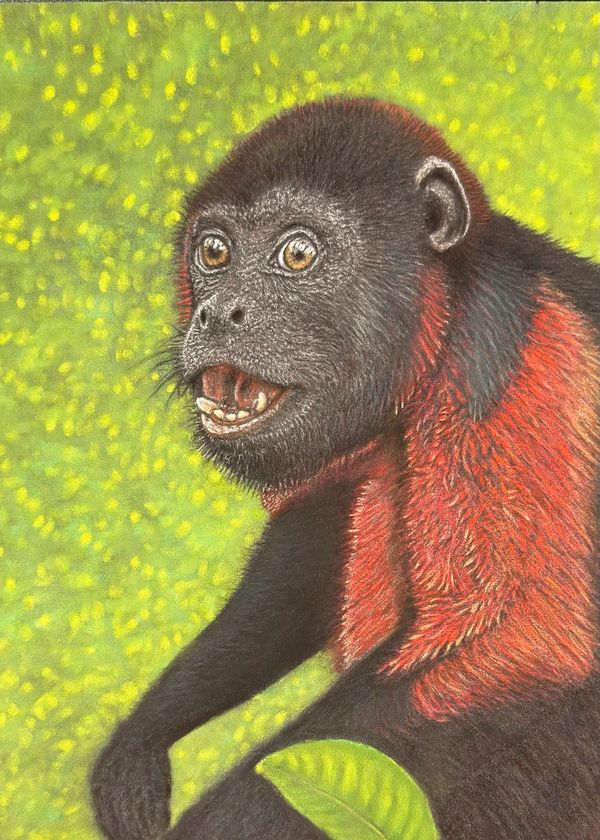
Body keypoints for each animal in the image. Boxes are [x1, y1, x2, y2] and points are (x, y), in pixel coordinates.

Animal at [90, 97, 600, 840]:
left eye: (298, 254)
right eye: (213, 252)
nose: (215, 312)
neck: (447, 309)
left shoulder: (518, 357)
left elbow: (527, 637)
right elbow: (316, 527)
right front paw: (141, 736)